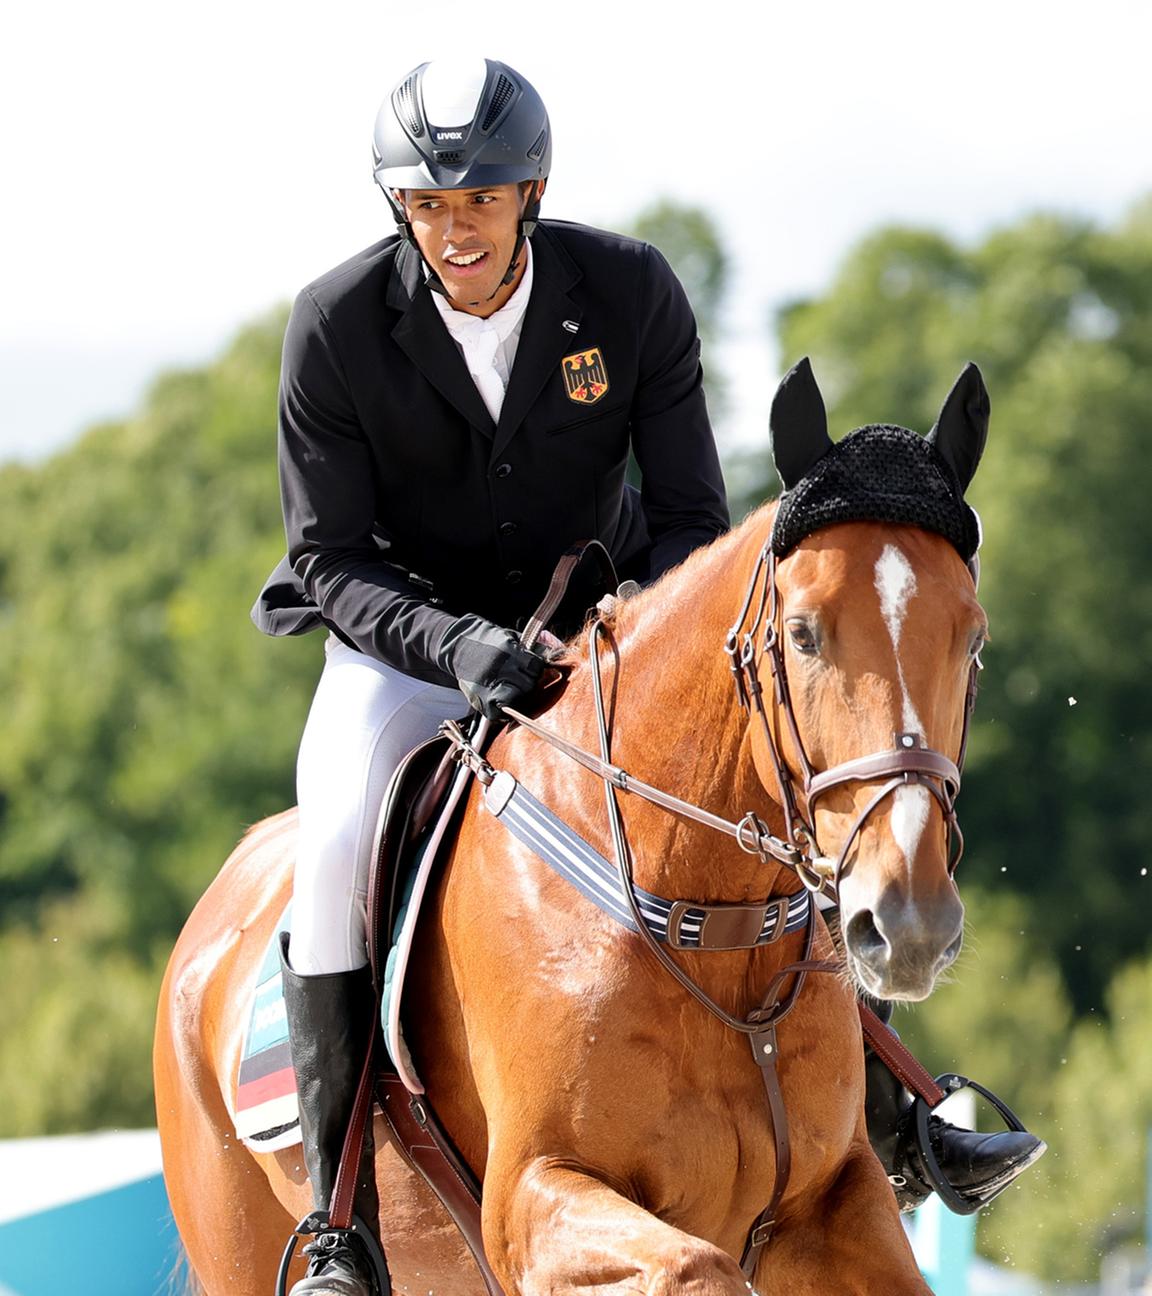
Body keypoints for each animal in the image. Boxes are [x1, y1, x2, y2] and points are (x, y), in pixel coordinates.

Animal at [154, 365, 990, 1296]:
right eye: (803, 635)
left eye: (973, 639)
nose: (909, 924)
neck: (710, 929)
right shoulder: (533, 1198)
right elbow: (695, 1268)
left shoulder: (835, 1201)